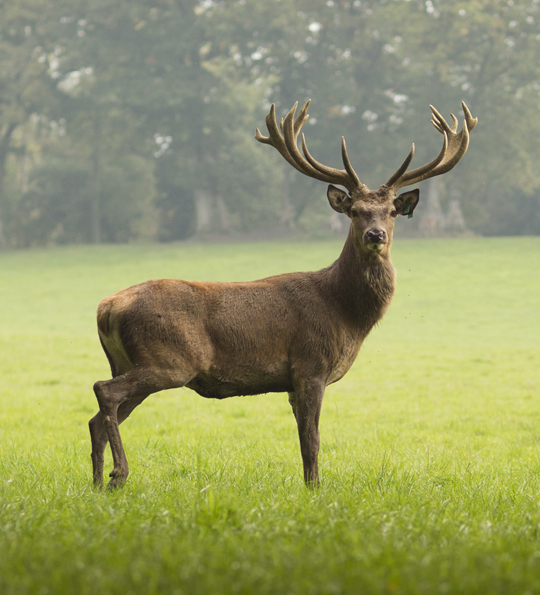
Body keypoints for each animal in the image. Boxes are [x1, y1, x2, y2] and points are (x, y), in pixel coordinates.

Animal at [88, 100, 476, 488]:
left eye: (392, 211)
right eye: (355, 211)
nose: (375, 235)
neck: (347, 313)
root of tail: (107, 307)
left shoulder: (292, 380)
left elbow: (304, 439)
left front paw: (308, 486)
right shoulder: (311, 364)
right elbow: (312, 440)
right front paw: (315, 489)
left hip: (130, 360)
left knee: (97, 420)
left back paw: (97, 484)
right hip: (169, 359)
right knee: (103, 389)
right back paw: (118, 474)